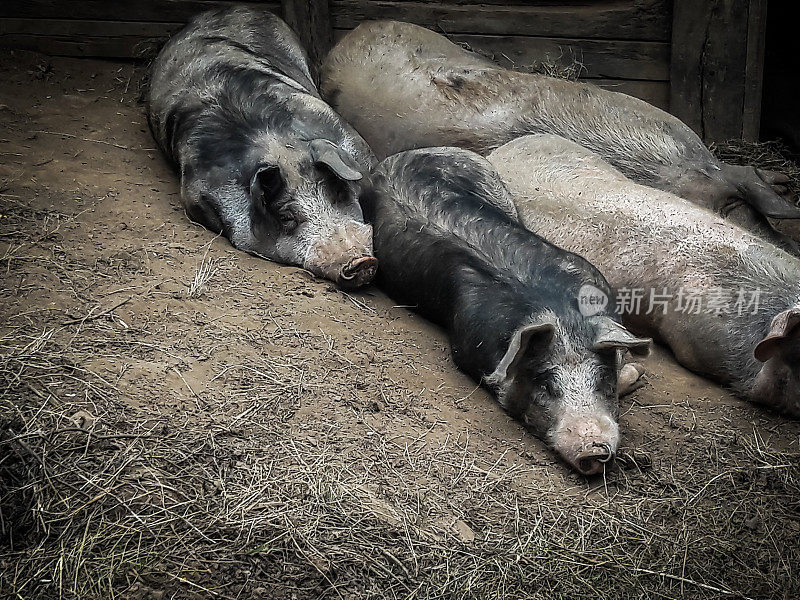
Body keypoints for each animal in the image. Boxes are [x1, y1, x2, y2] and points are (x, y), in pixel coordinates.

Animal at [366, 148, 652, 476]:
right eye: (547, 386)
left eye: (602, 382)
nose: (594, 449)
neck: (560, 314)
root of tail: (405, 153)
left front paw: (638, 373)